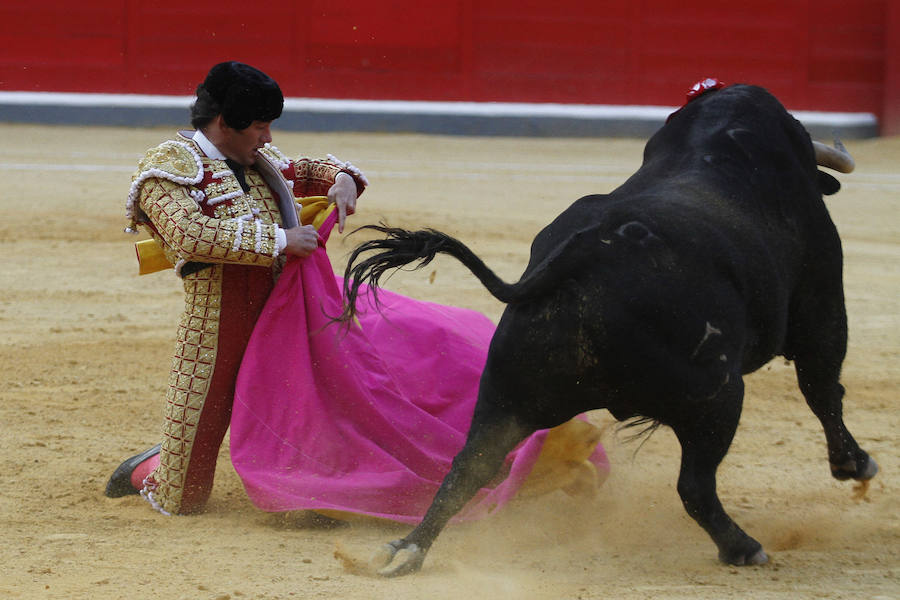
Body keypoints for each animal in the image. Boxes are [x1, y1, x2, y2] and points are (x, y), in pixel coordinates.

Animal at [340, 84, 880, 576]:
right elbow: (823, 387)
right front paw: (855, 465)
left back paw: (405, 551)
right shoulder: (822, 304)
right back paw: (744, 548)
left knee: (469, 466)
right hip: (719, 395)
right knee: (696, 484)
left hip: (506, 392)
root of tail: (585, 254)